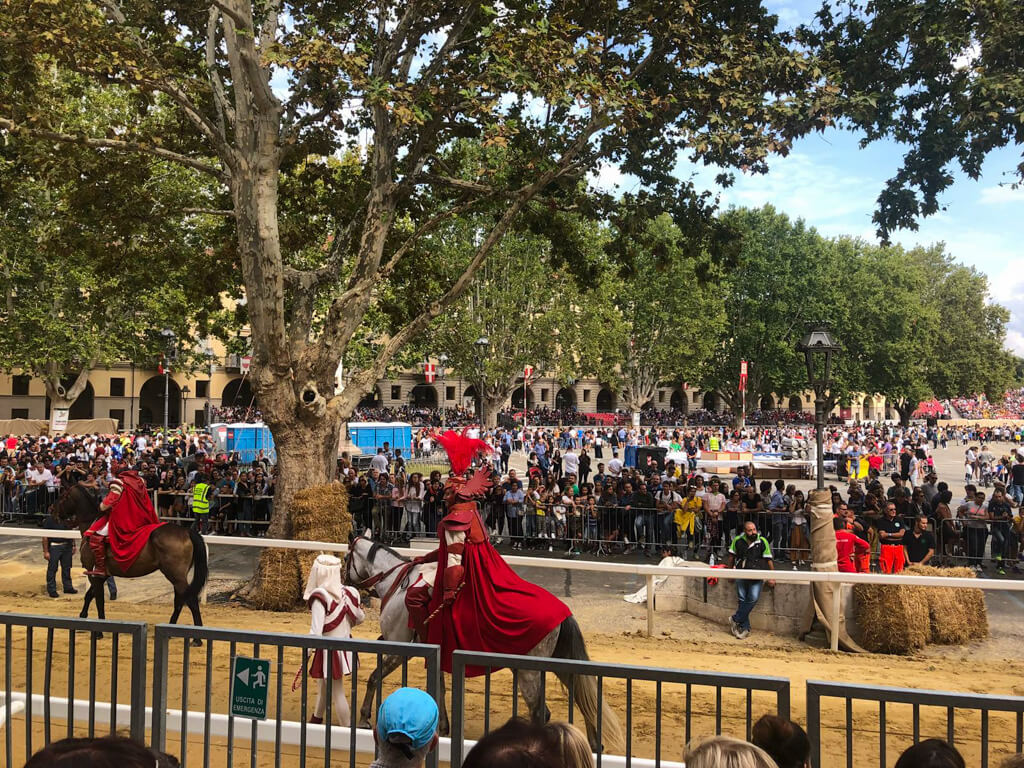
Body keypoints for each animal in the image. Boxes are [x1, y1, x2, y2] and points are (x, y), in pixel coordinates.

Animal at [52, 483, 208, 638]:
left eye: (62, 496)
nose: (52, 511)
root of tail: (187, 531)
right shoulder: (101, 575)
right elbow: (89, 595)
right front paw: (83, 617)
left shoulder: (94, 574)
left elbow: (98, 600)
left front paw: (99, 631)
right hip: (177, 576)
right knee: (180, 600)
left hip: (176, 576)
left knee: (191, 600)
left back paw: (197, 638)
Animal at [346, 536, 622, 753]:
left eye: (347, 557)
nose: (348, 583)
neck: (398, 584)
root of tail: (562, 611)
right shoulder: (435, 653)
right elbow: (440, 689)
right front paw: (443, 727)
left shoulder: (399, 648)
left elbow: (373, 677)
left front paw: (364, 717)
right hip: (556, 663)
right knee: (583, 697)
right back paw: (595, 744)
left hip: (528, 672)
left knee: (541, 712)